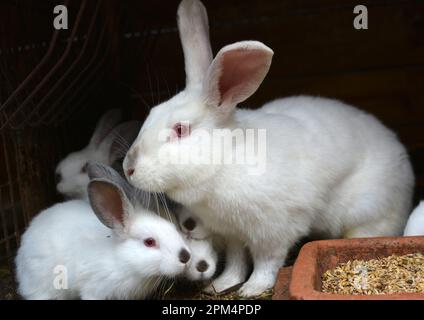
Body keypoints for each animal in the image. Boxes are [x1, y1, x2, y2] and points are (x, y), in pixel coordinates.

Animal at [121, 0, 414, 298]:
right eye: (151, 114)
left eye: (180, 129)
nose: (128, 168)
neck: (226, 162)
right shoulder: (232, 234)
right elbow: (236, 261)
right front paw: (222, 284)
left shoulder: (273, 230)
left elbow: (267, 262)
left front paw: (252, 289)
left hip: (369, 215)